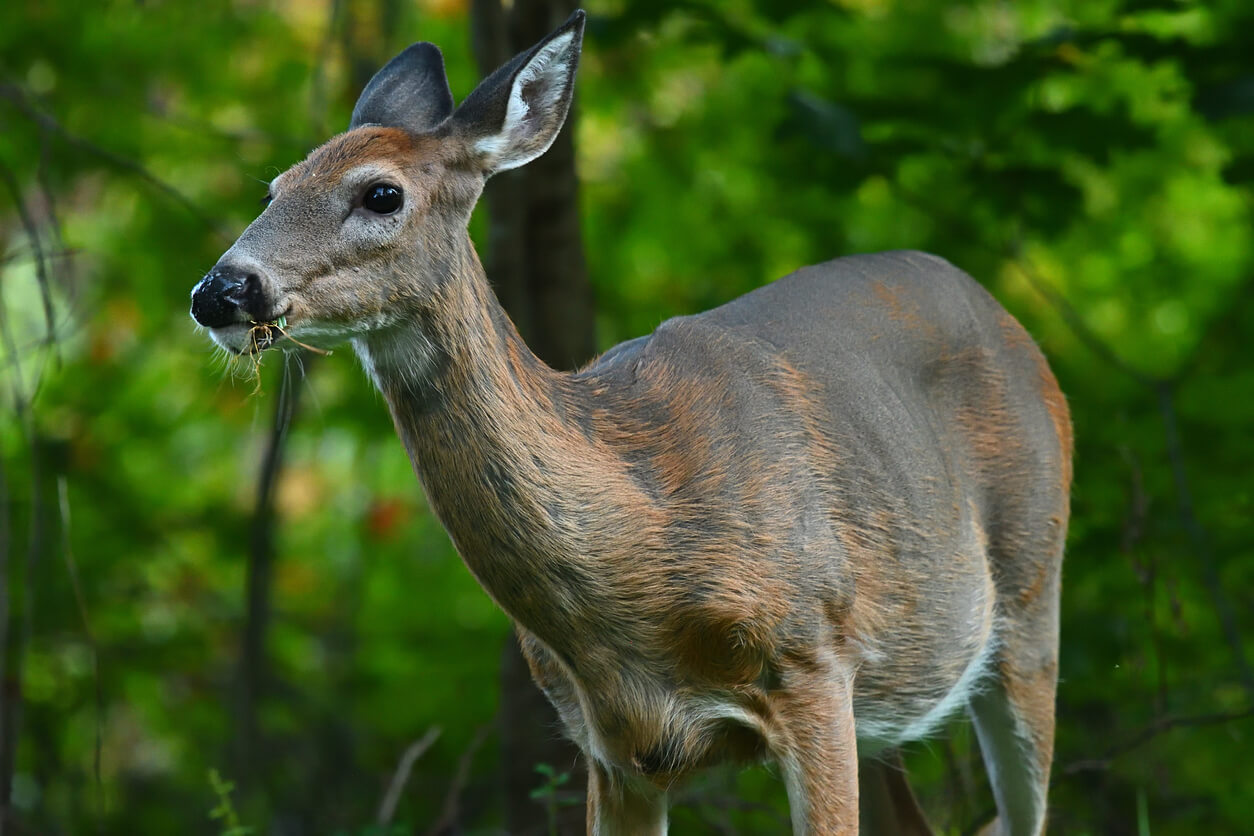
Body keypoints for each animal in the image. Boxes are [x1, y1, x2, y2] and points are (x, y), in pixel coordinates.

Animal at [188, 8, 1068, 836]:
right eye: (274, 188)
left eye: (380, 193)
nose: (220, 290)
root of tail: (1009, 321)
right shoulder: (614, 746)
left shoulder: (812, 658)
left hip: (1031, 600)